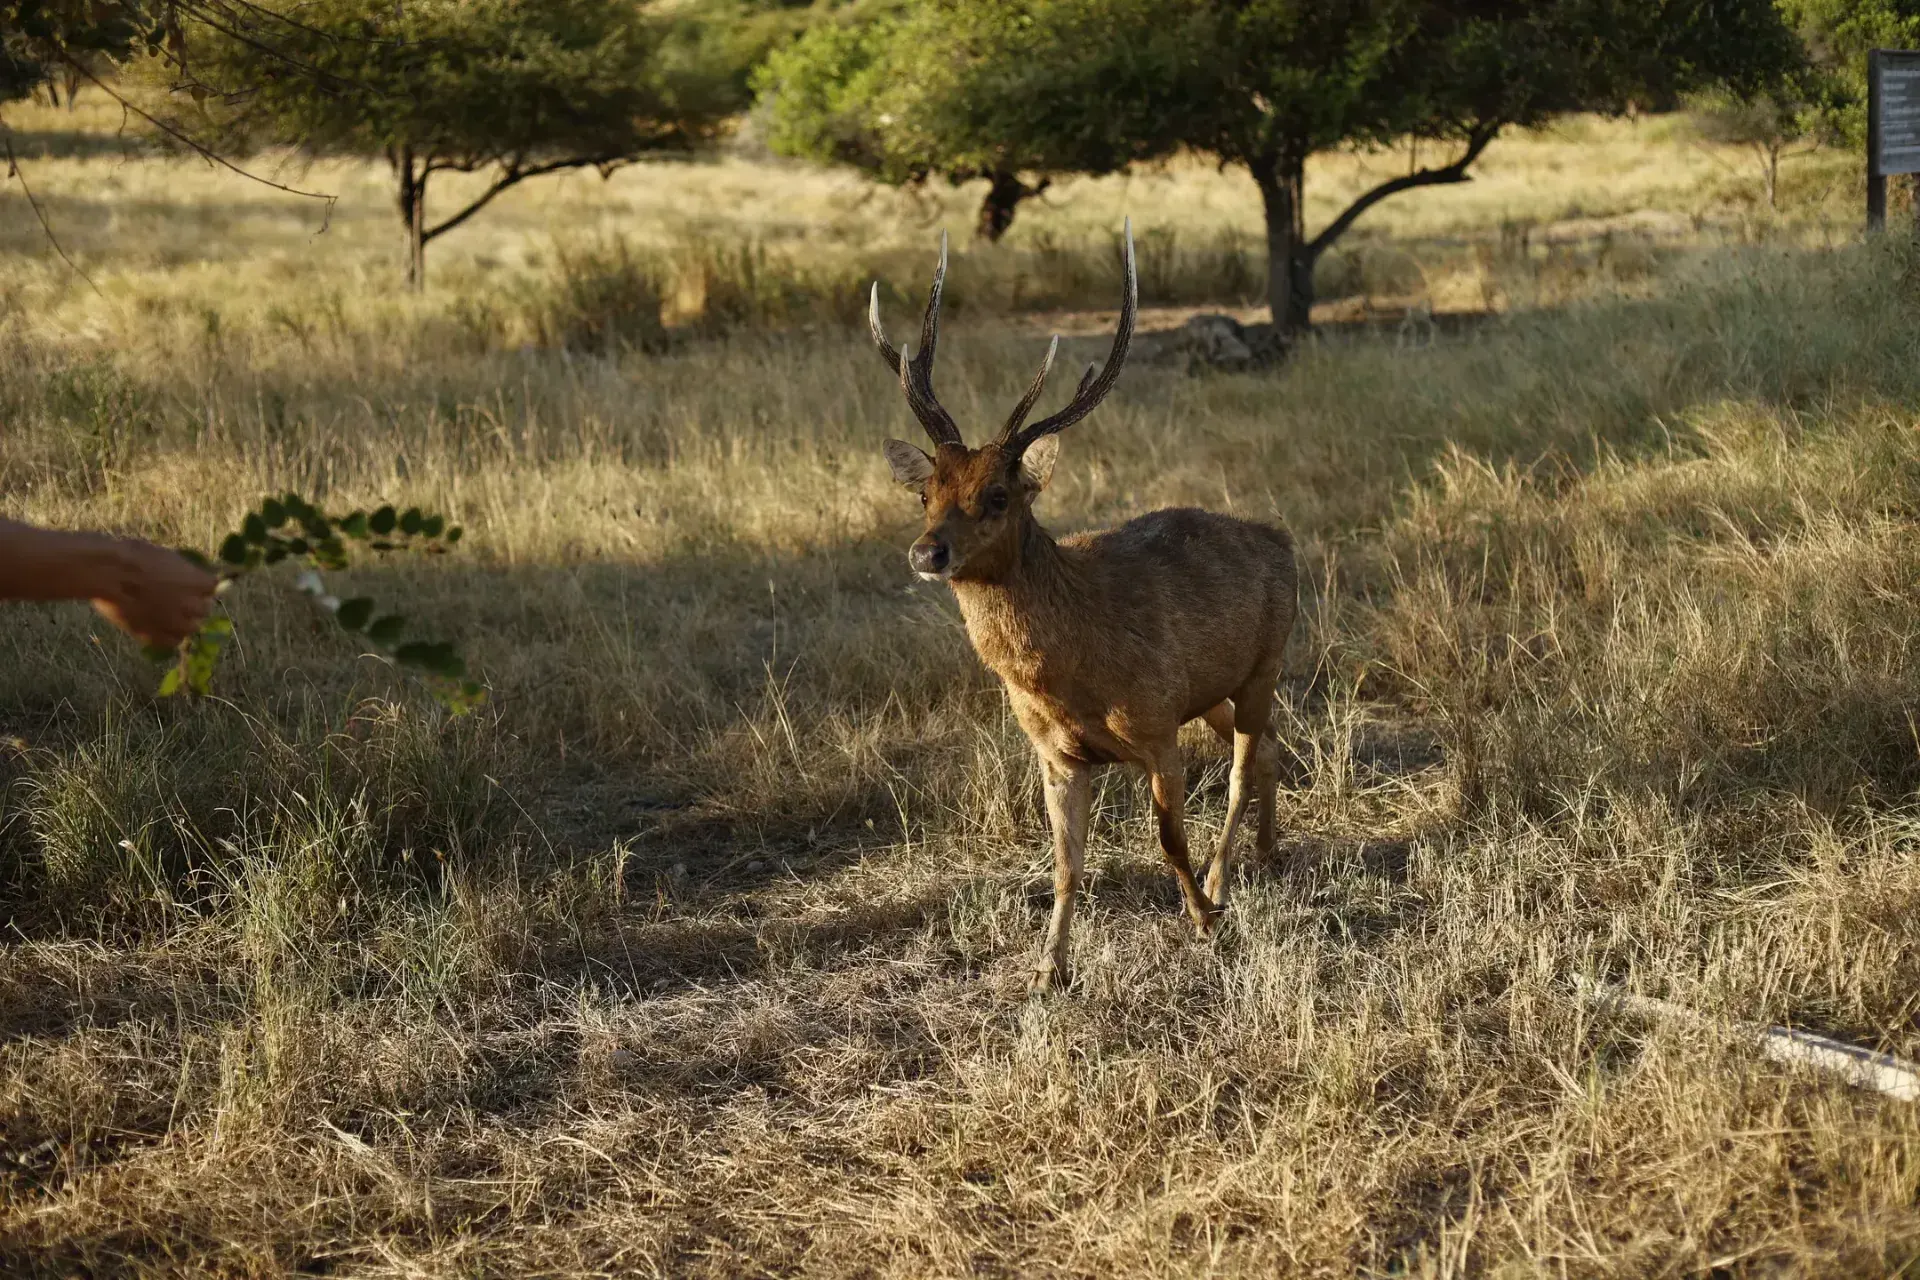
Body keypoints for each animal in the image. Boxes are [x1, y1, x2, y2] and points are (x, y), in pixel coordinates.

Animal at [871, 220, 1298, 992]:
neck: (1072, 677)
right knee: (1269, 751)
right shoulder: (1055, 752)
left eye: (998, 496)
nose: (926, 553)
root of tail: (1281, 539)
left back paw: (1223, 879)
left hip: (1266, 662)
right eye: (926, 494)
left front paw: (1203, 920)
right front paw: (1048, 970)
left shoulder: (1156, 726)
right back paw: (1267, 853)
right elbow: (1066, 865)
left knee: (1243, 769)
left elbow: (1168, 839)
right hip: (1213, 691)